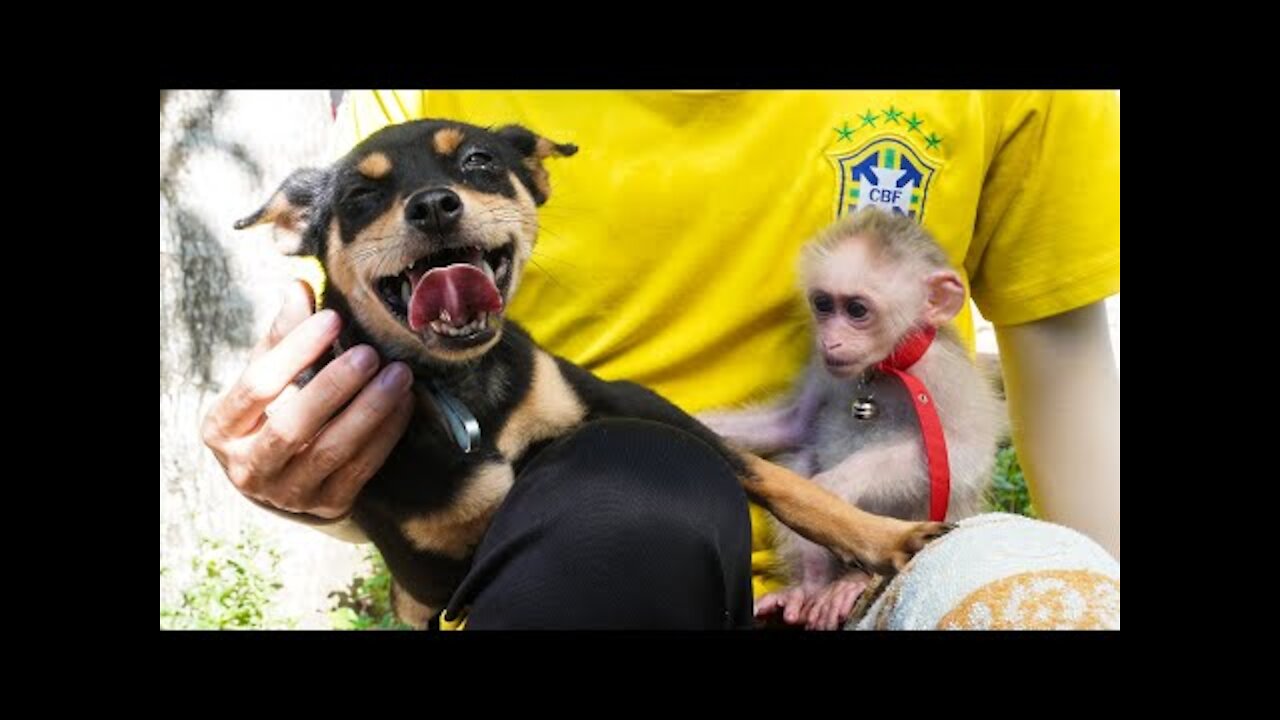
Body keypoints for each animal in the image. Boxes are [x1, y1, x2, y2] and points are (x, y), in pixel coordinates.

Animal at [235, 117, 947, 622]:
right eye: (359, 196)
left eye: (478, 162)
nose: (433, 205)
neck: (468, 391)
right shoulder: (434, 571)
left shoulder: (631, 402)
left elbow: (783, 482)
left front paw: (887, 537)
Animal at [706, 207, 1003, 627]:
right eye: (824, 305)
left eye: (857, 310)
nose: (830, 340)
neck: (882, 368)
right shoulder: (824, 366)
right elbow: (792, 427)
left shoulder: (938, 371)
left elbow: (963, 453)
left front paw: (836, 484)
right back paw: (811, 587)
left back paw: (851, 584)